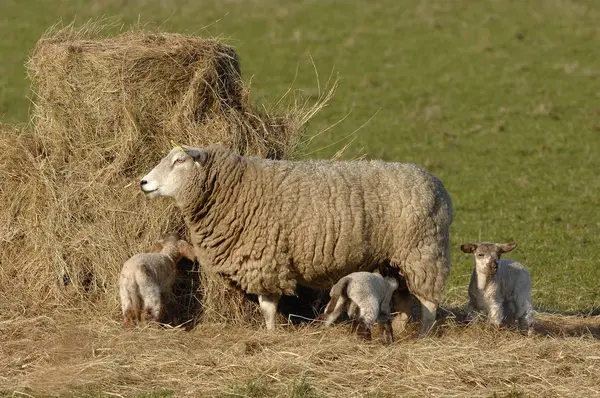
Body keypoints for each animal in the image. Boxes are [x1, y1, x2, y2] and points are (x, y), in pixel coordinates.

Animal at [139, 146, 450, 336]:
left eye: (180, 161)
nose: (143, 182)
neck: (235, 188)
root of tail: (437, 185)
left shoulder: (265, 259)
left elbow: (267, 306)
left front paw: (270, 333)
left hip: (423, 252)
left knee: (428, 304)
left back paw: (423, 336)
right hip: (396, 259)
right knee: (404, 296)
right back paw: (401, 328)